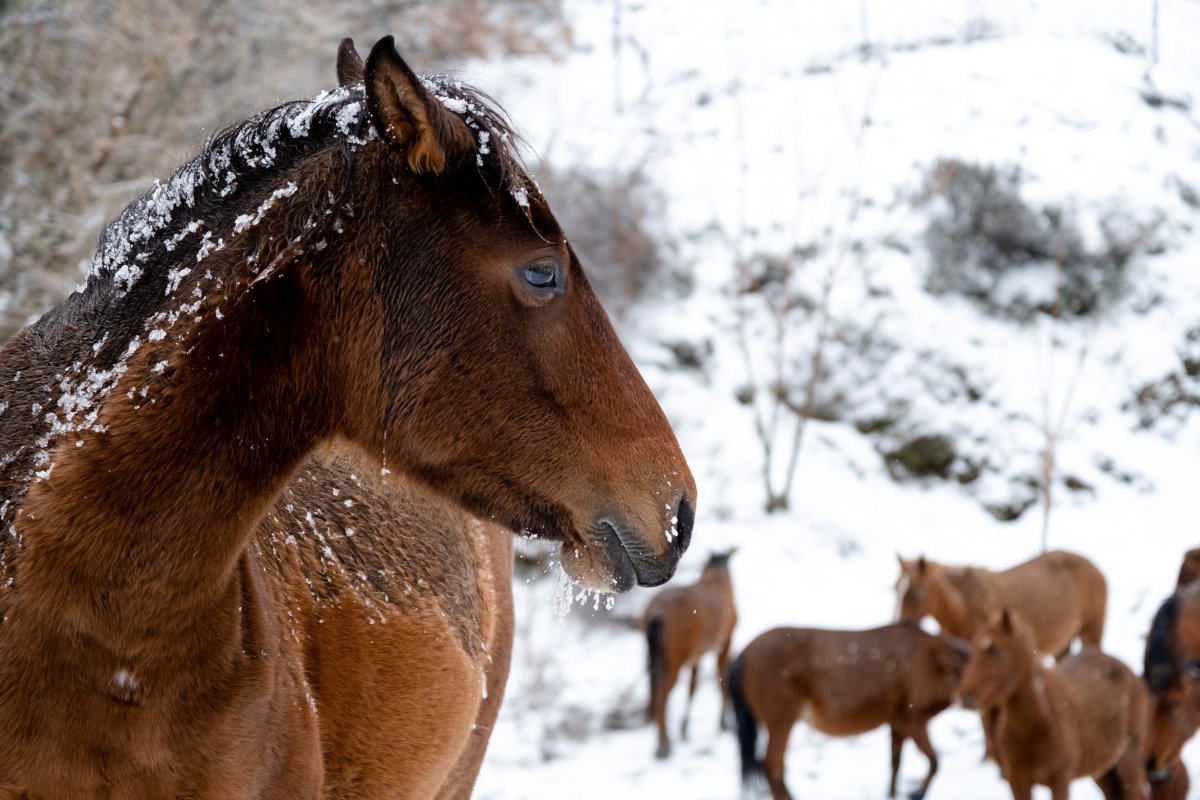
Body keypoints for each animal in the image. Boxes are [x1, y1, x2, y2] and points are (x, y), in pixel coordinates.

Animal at [643, 546, 734, 762]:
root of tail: (655, 615)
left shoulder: (696, 654)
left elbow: (693, 686)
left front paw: (685, 729)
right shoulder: (726, 638)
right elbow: (722, 677)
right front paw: (724, 724)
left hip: (652, 651)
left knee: (652, 686)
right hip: (674, 656)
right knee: (662, 692)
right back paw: (664, 746)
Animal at [724, 623, 969, 800]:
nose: (969, 700)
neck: (937, 662)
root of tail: (744, 653)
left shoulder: (896, 723)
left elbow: (895, 764)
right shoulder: (912, 718)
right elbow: (935, 762)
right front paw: (916, 793)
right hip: (781, 719)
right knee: (771, 765)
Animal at [960, 606, 1147, 800]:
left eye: (997, 651)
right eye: (973, 650)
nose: (965, 698)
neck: (1039, 722)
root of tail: (1132, 674)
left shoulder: (1060, 779)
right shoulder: (1017, 781)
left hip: (1129, 759)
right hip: (1102, 768)